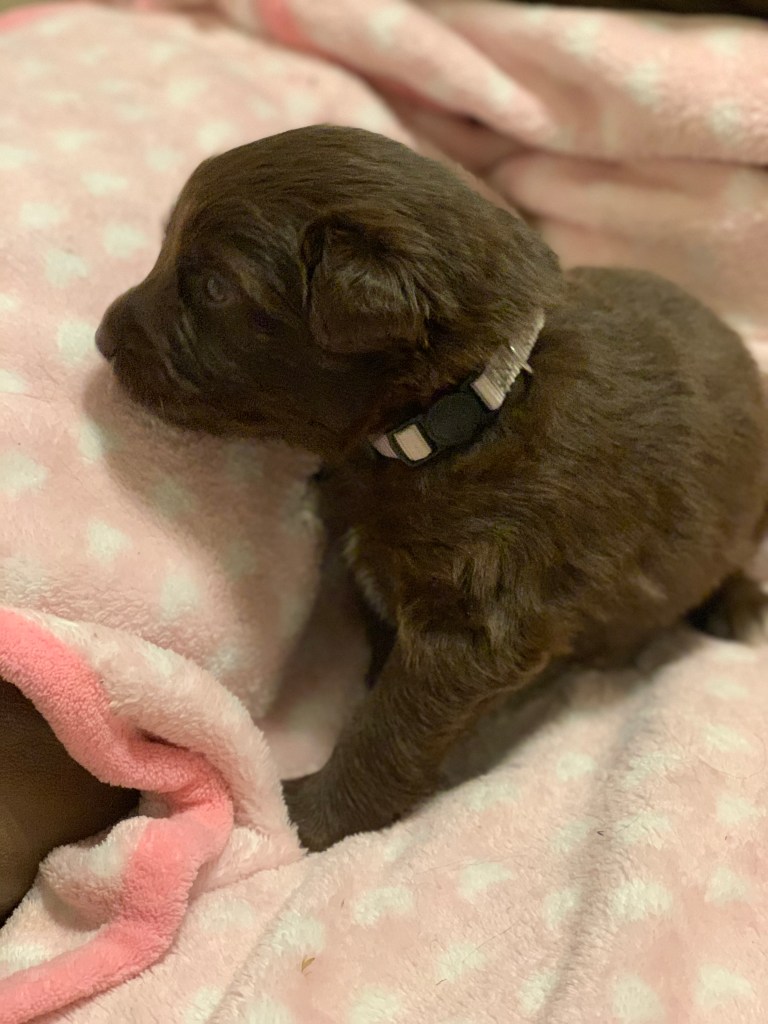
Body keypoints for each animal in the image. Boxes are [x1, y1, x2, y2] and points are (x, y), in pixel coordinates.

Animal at [96, 125, 768, 852]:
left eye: (216, 287)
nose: (102, 335)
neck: (469, 408)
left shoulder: (474, 620)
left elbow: (392, 728)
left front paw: (312, 815)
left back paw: (740, 604)